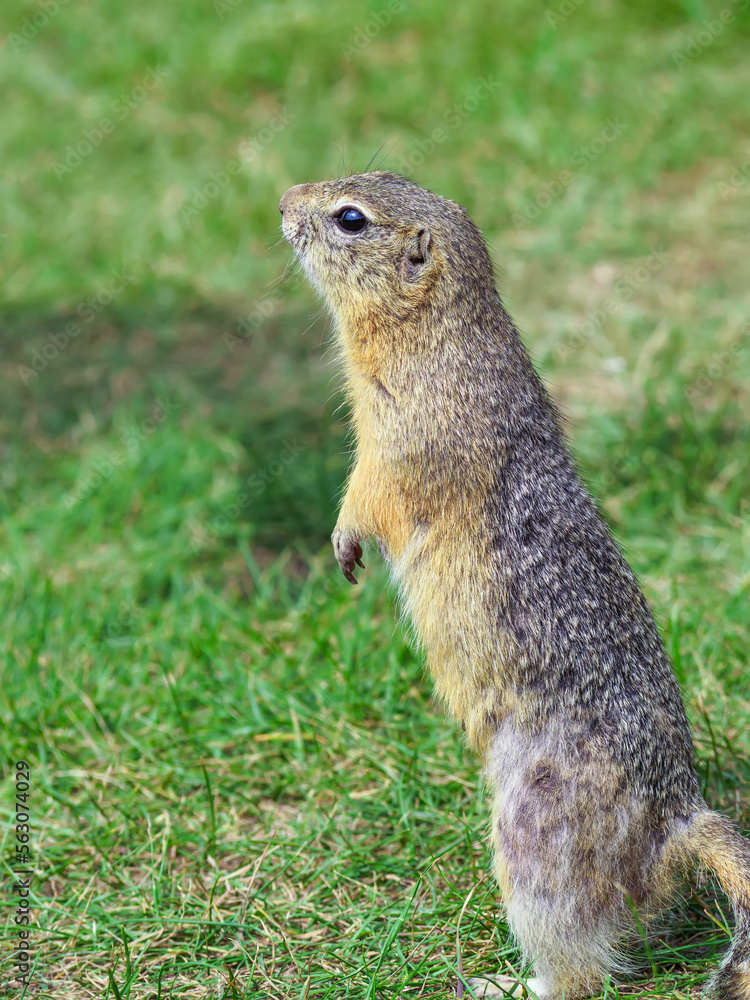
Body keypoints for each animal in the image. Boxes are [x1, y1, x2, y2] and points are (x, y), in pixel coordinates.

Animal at [280, 174, 750, 1000]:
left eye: (350, 218)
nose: (281, 201)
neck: (440, 333)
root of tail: (679, 823)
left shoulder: (403, 438)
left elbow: (371, 493)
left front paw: (343, 544)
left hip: (538, 838)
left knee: (580, 966)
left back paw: (505, 984)